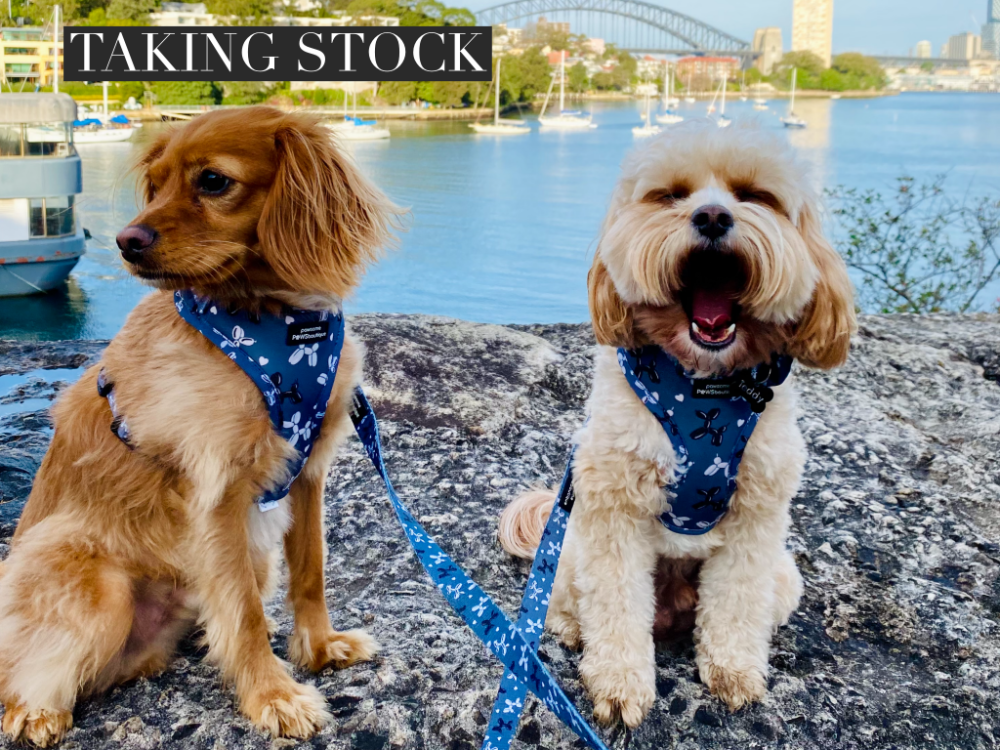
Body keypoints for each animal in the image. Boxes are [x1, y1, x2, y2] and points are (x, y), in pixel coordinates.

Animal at [0, 108, 398, 748]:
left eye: (212, 181)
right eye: (156, 183)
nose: (125, 241)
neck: (272, 322)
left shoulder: (308, 472)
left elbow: (310, 572)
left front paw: (318, 649)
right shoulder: (219, 494)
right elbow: (246, 614)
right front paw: (273, 696)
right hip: (97, 581)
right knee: (23, 676)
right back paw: (36, 711)